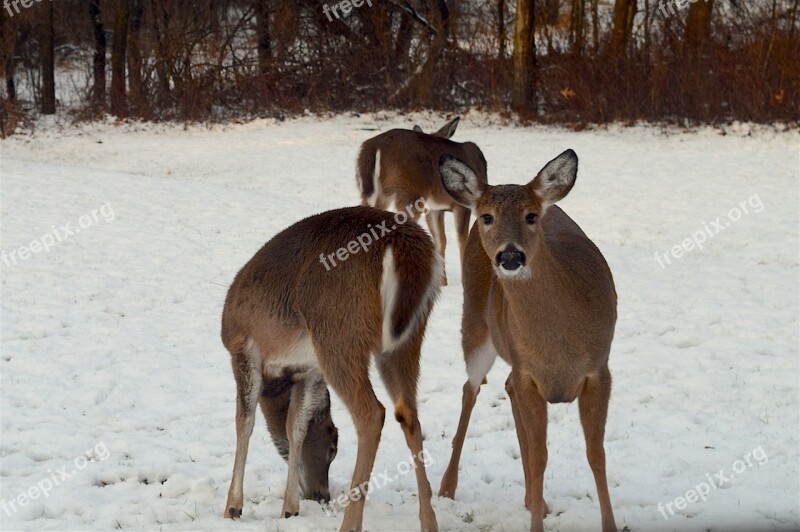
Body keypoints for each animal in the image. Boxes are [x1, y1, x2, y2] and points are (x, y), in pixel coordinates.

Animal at [356, 115, 488, 284]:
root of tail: (376, 146)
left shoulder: (434, 208)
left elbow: (441, 240)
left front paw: (443, 281)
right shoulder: (462, 205)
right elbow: (462, 239)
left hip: (374, 194)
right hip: (410, 193)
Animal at [438, 149, 620, 532]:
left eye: (531, 216)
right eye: (488, 216)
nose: (510, 255)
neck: (558, 344)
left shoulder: (600, 368)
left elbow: (596, 453)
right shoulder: (529, 374)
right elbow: (540, 457)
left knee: (503, 385)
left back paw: (533, 499)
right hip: (474, 325)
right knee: (470, 389)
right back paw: (447, 487)